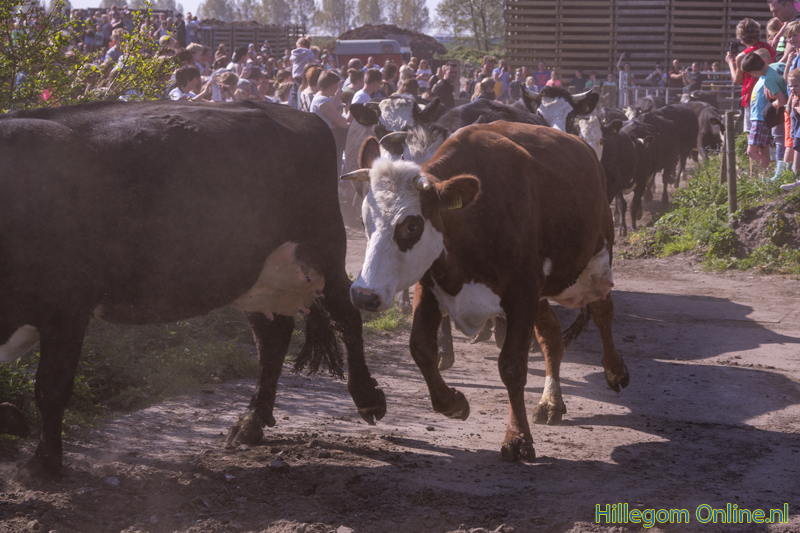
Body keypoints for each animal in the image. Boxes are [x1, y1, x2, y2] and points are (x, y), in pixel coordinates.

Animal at [0, 100, 387, 475]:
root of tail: (288, 111)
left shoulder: (65, 307)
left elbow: (50, 388)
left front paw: (43, 462)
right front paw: (16, 424)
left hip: (323, 248)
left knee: (346, 314)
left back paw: (367, 398)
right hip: (254, 274)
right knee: (272, 338)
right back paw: (251, 420)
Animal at [344, 122, 629, 462]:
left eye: (411, 226)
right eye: (365, 220)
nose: (363, 295)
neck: (473, 219)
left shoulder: (521, 294)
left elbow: (512, 366)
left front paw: (518, 438)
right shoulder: (430, 286)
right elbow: (422, 349)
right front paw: (453, 403)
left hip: (594, 262)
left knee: (602, 311)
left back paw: (615, 371)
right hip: (543, 292)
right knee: (551, 334)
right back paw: (551, 402)